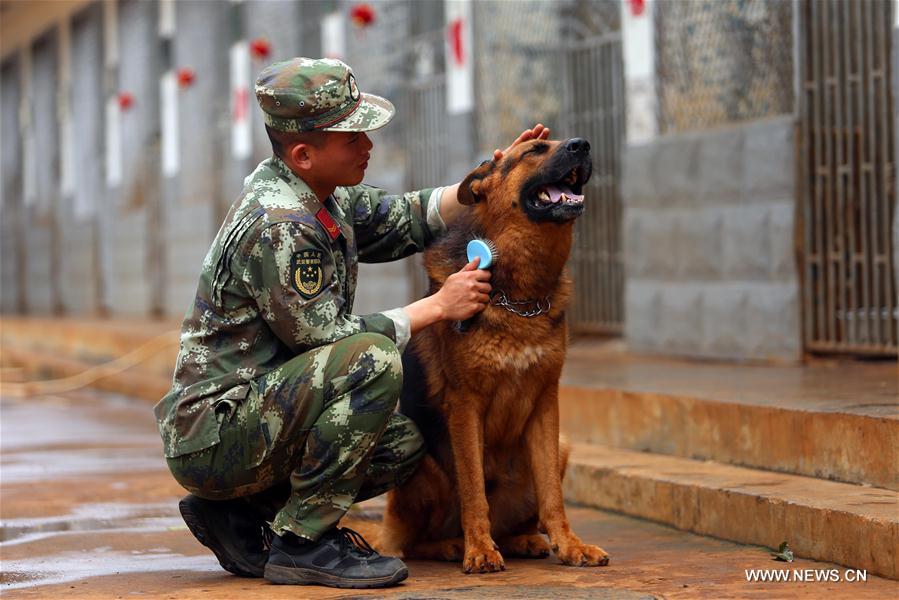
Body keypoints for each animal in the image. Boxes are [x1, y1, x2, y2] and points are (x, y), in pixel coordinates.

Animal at [382, 137, 612, 572]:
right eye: (535, 150)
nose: (583, 145)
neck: (519, 296)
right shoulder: (465, 405)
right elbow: (474, 490)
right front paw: (479, 550)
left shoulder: (546, 402)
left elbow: (553, 496)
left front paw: (570, 545)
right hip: (424, 467)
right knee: (415, 542)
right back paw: (453, 545)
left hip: (562, 445)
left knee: (522, 518)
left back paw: (524, 540)